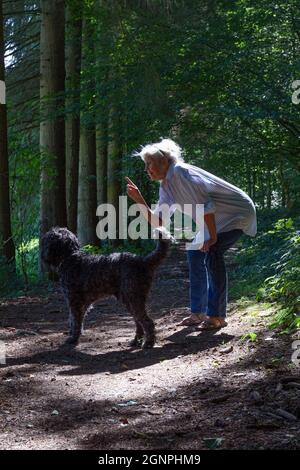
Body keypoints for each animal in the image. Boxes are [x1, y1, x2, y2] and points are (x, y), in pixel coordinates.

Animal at [40, 228, 171, 348]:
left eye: (48, 239)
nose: (42, 254)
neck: (71, 257)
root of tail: (142, 261)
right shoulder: (83, 304)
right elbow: (75, 321)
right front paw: (75, 334)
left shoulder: (74, 302)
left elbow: (75, 321)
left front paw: (73, 339)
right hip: (129, 301)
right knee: (138, 322)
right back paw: (135, 341)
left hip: (134, 299)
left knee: (148, 322)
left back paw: (148, 343)